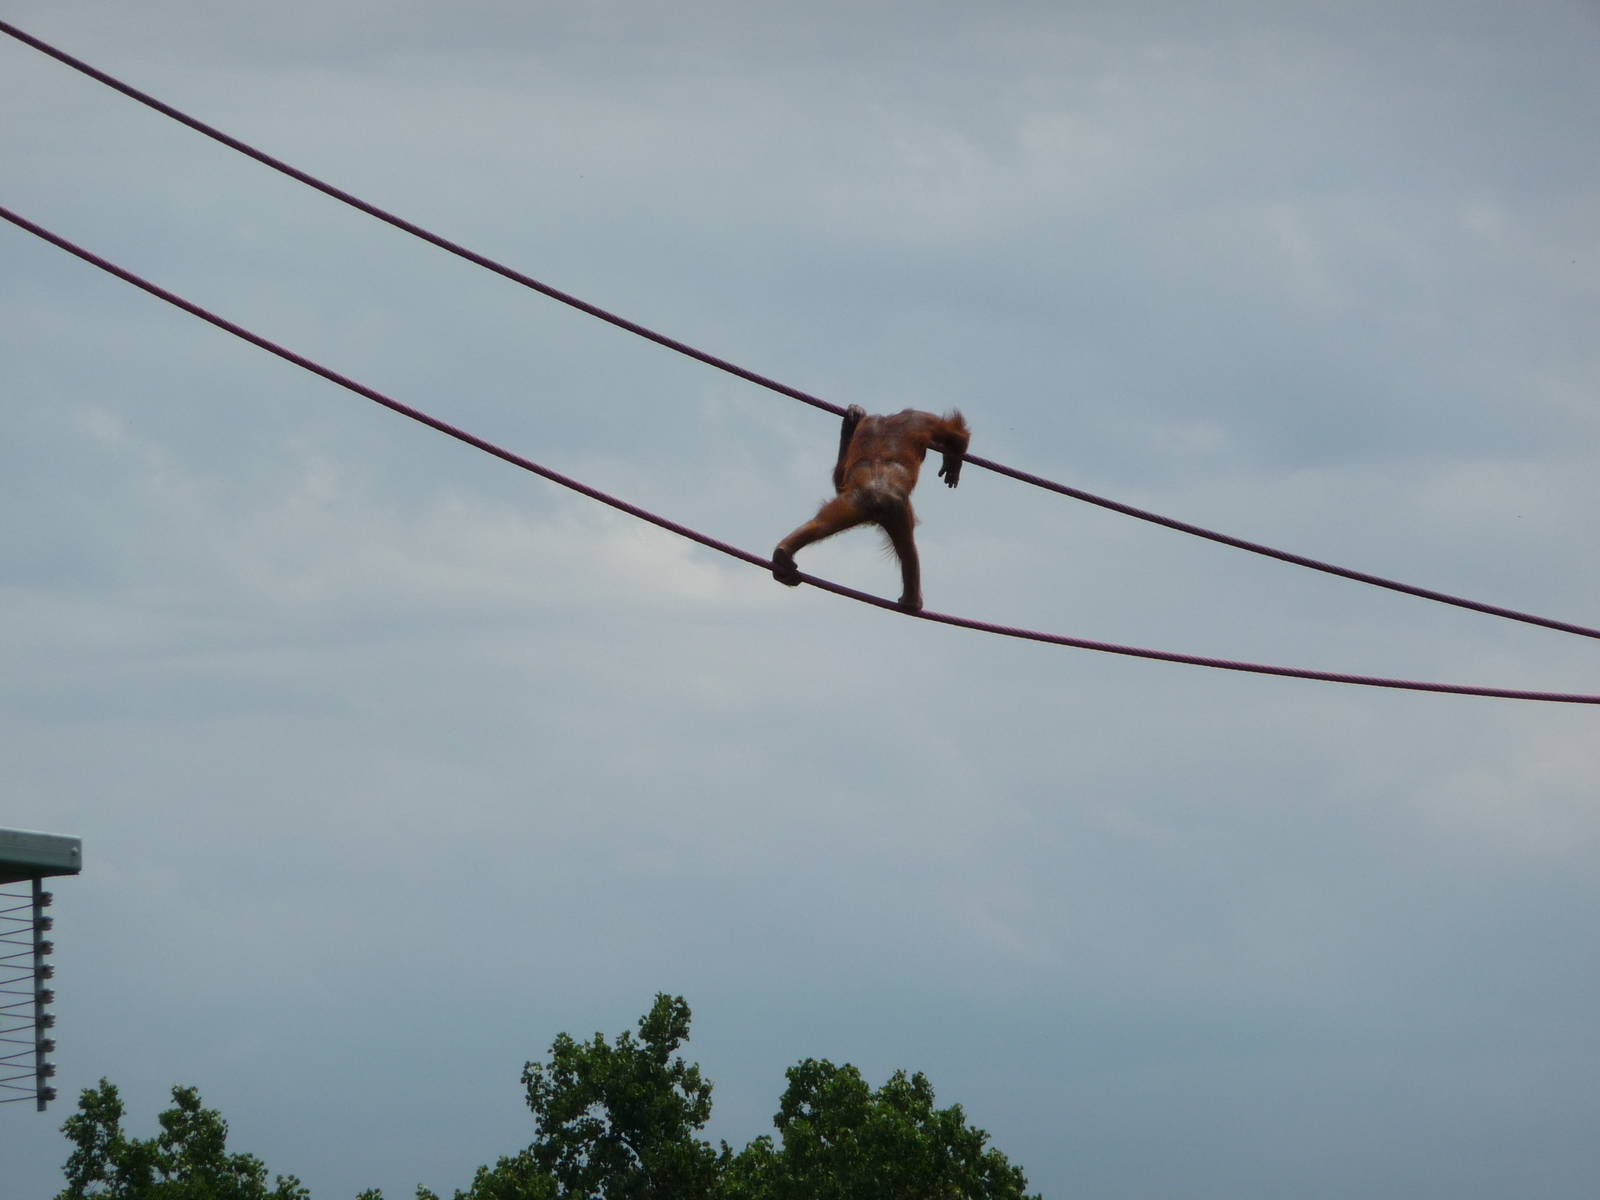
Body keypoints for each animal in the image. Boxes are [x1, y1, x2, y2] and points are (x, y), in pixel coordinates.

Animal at [771, 405, 970, 612]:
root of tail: (875, 493)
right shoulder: (918, 416)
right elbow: (956, 435)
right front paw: (954, 458)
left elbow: (840, 479)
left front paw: (852, 420)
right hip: (896, 509)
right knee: (907, 548)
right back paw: (912, 602)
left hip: (852, 503)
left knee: (820, 525)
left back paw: (782, 555)